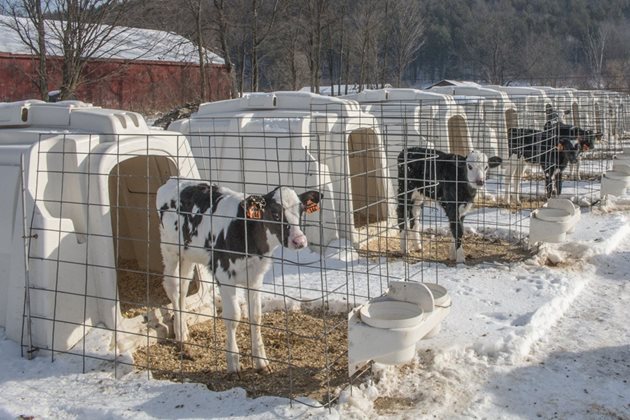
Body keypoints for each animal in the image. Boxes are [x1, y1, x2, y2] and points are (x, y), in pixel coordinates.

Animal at [157, 179, 324, 372]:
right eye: (275, 213)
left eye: (301, 211)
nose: (299, 241)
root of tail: (173, 181)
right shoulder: (224, 275)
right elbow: (233, 316)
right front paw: (233, 363)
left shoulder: (255, 276)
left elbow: (255, 316)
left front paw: (261, 361)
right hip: (170, 250)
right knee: (173, 287)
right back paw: (180, 335)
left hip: (188, 255)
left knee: (183, 288)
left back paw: (183, 331)